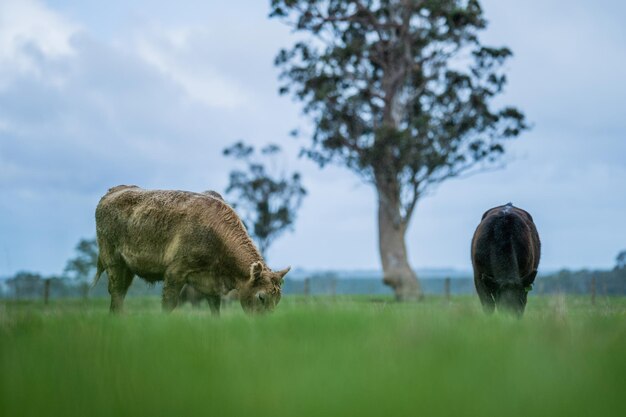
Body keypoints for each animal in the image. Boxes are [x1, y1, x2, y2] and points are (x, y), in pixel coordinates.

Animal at [92, 185, 288, 312]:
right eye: (261, 297)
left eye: (278, 299)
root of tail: (111, 192)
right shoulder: (174, 273)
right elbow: (168, 306)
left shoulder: (211, 286)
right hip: (114, 264)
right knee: (117, 296)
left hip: (128, 269)